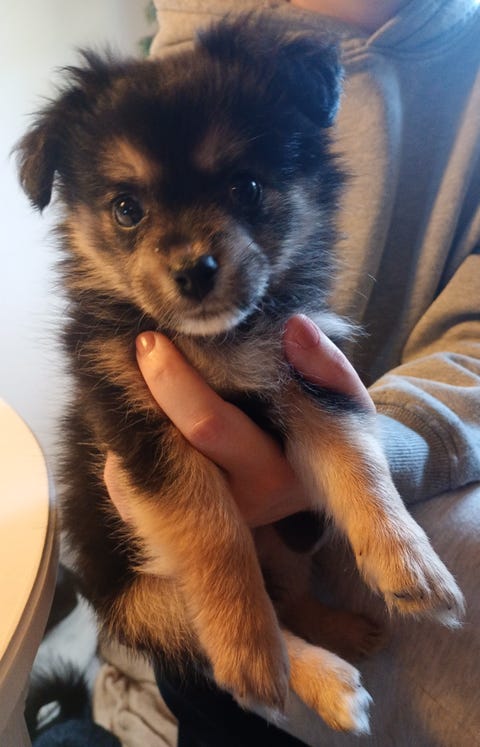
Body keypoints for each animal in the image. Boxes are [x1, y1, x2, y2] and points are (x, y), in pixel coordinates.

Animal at [18, 13, 464, 734]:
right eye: (126, 208)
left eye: (247, 188)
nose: (193, 270)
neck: (218, 344)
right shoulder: (142, 426)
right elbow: (215, 530)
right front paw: (248, 647)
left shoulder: (303, 374)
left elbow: (357, 463)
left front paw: (411, 563)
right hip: (143, 596)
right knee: (216, 624)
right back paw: (317, 677)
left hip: (281, 540)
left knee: (288, 588)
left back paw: (344, 629)